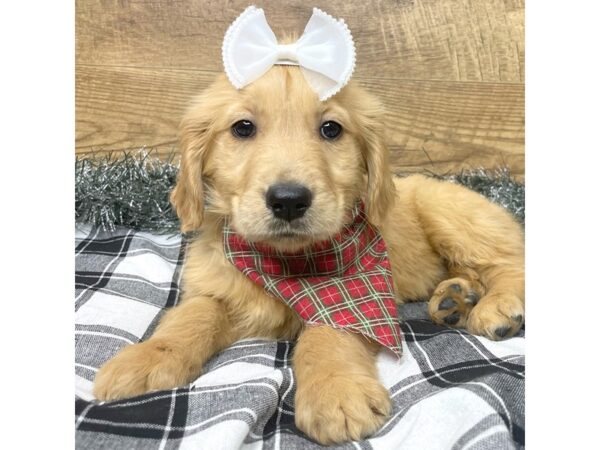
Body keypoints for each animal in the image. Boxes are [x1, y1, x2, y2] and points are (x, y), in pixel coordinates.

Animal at [94, 65, 524, 444]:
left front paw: (336, 391)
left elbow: (328, 333)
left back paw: (496, 307)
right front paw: (145, 359)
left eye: (331, 129)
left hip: (450, 211)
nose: (288, 200)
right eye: (242, 128)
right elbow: (193, 315)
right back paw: (455, 298)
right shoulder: (221, 284)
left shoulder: (350, 296)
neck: (287, 262)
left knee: (509, 262)